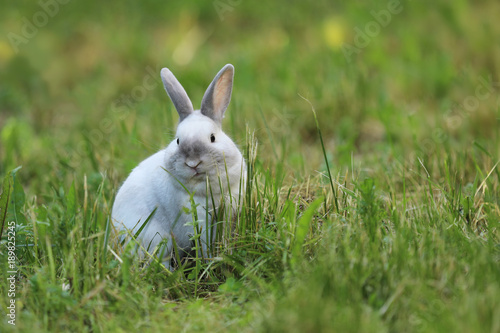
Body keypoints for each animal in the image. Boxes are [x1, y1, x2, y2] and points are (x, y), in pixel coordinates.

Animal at [112, 64, 247, 270]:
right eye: (177, 141)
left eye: (212, 138)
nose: (192, 163)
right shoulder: (200, 220)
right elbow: (205, 245)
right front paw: (211, 261)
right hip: (157, 239)